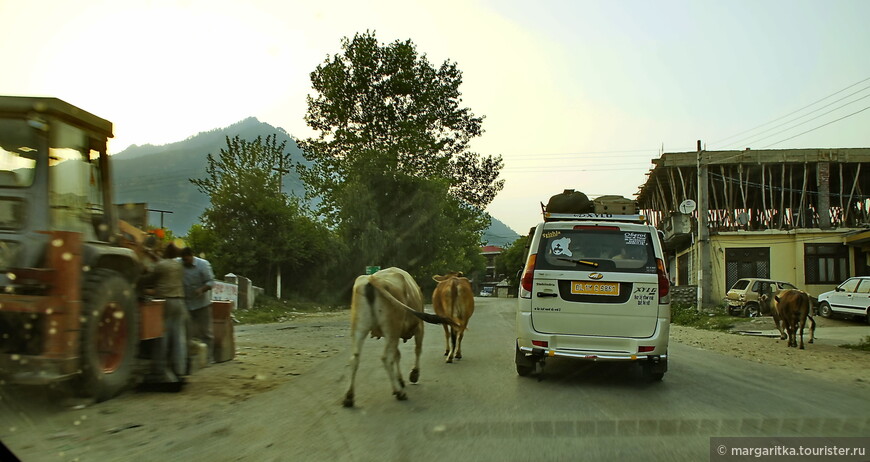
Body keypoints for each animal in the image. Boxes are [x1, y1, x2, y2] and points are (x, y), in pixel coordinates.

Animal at [344, 268, 460, 408]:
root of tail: (372, 279)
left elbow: (397, 355)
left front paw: (400, 379)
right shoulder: (419, 327)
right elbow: (417, 350)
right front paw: (414, 374)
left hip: (360, 327)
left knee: (355, 358)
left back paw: (349, 396)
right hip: (391, 328)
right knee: (386, 358)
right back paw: (399, 392)